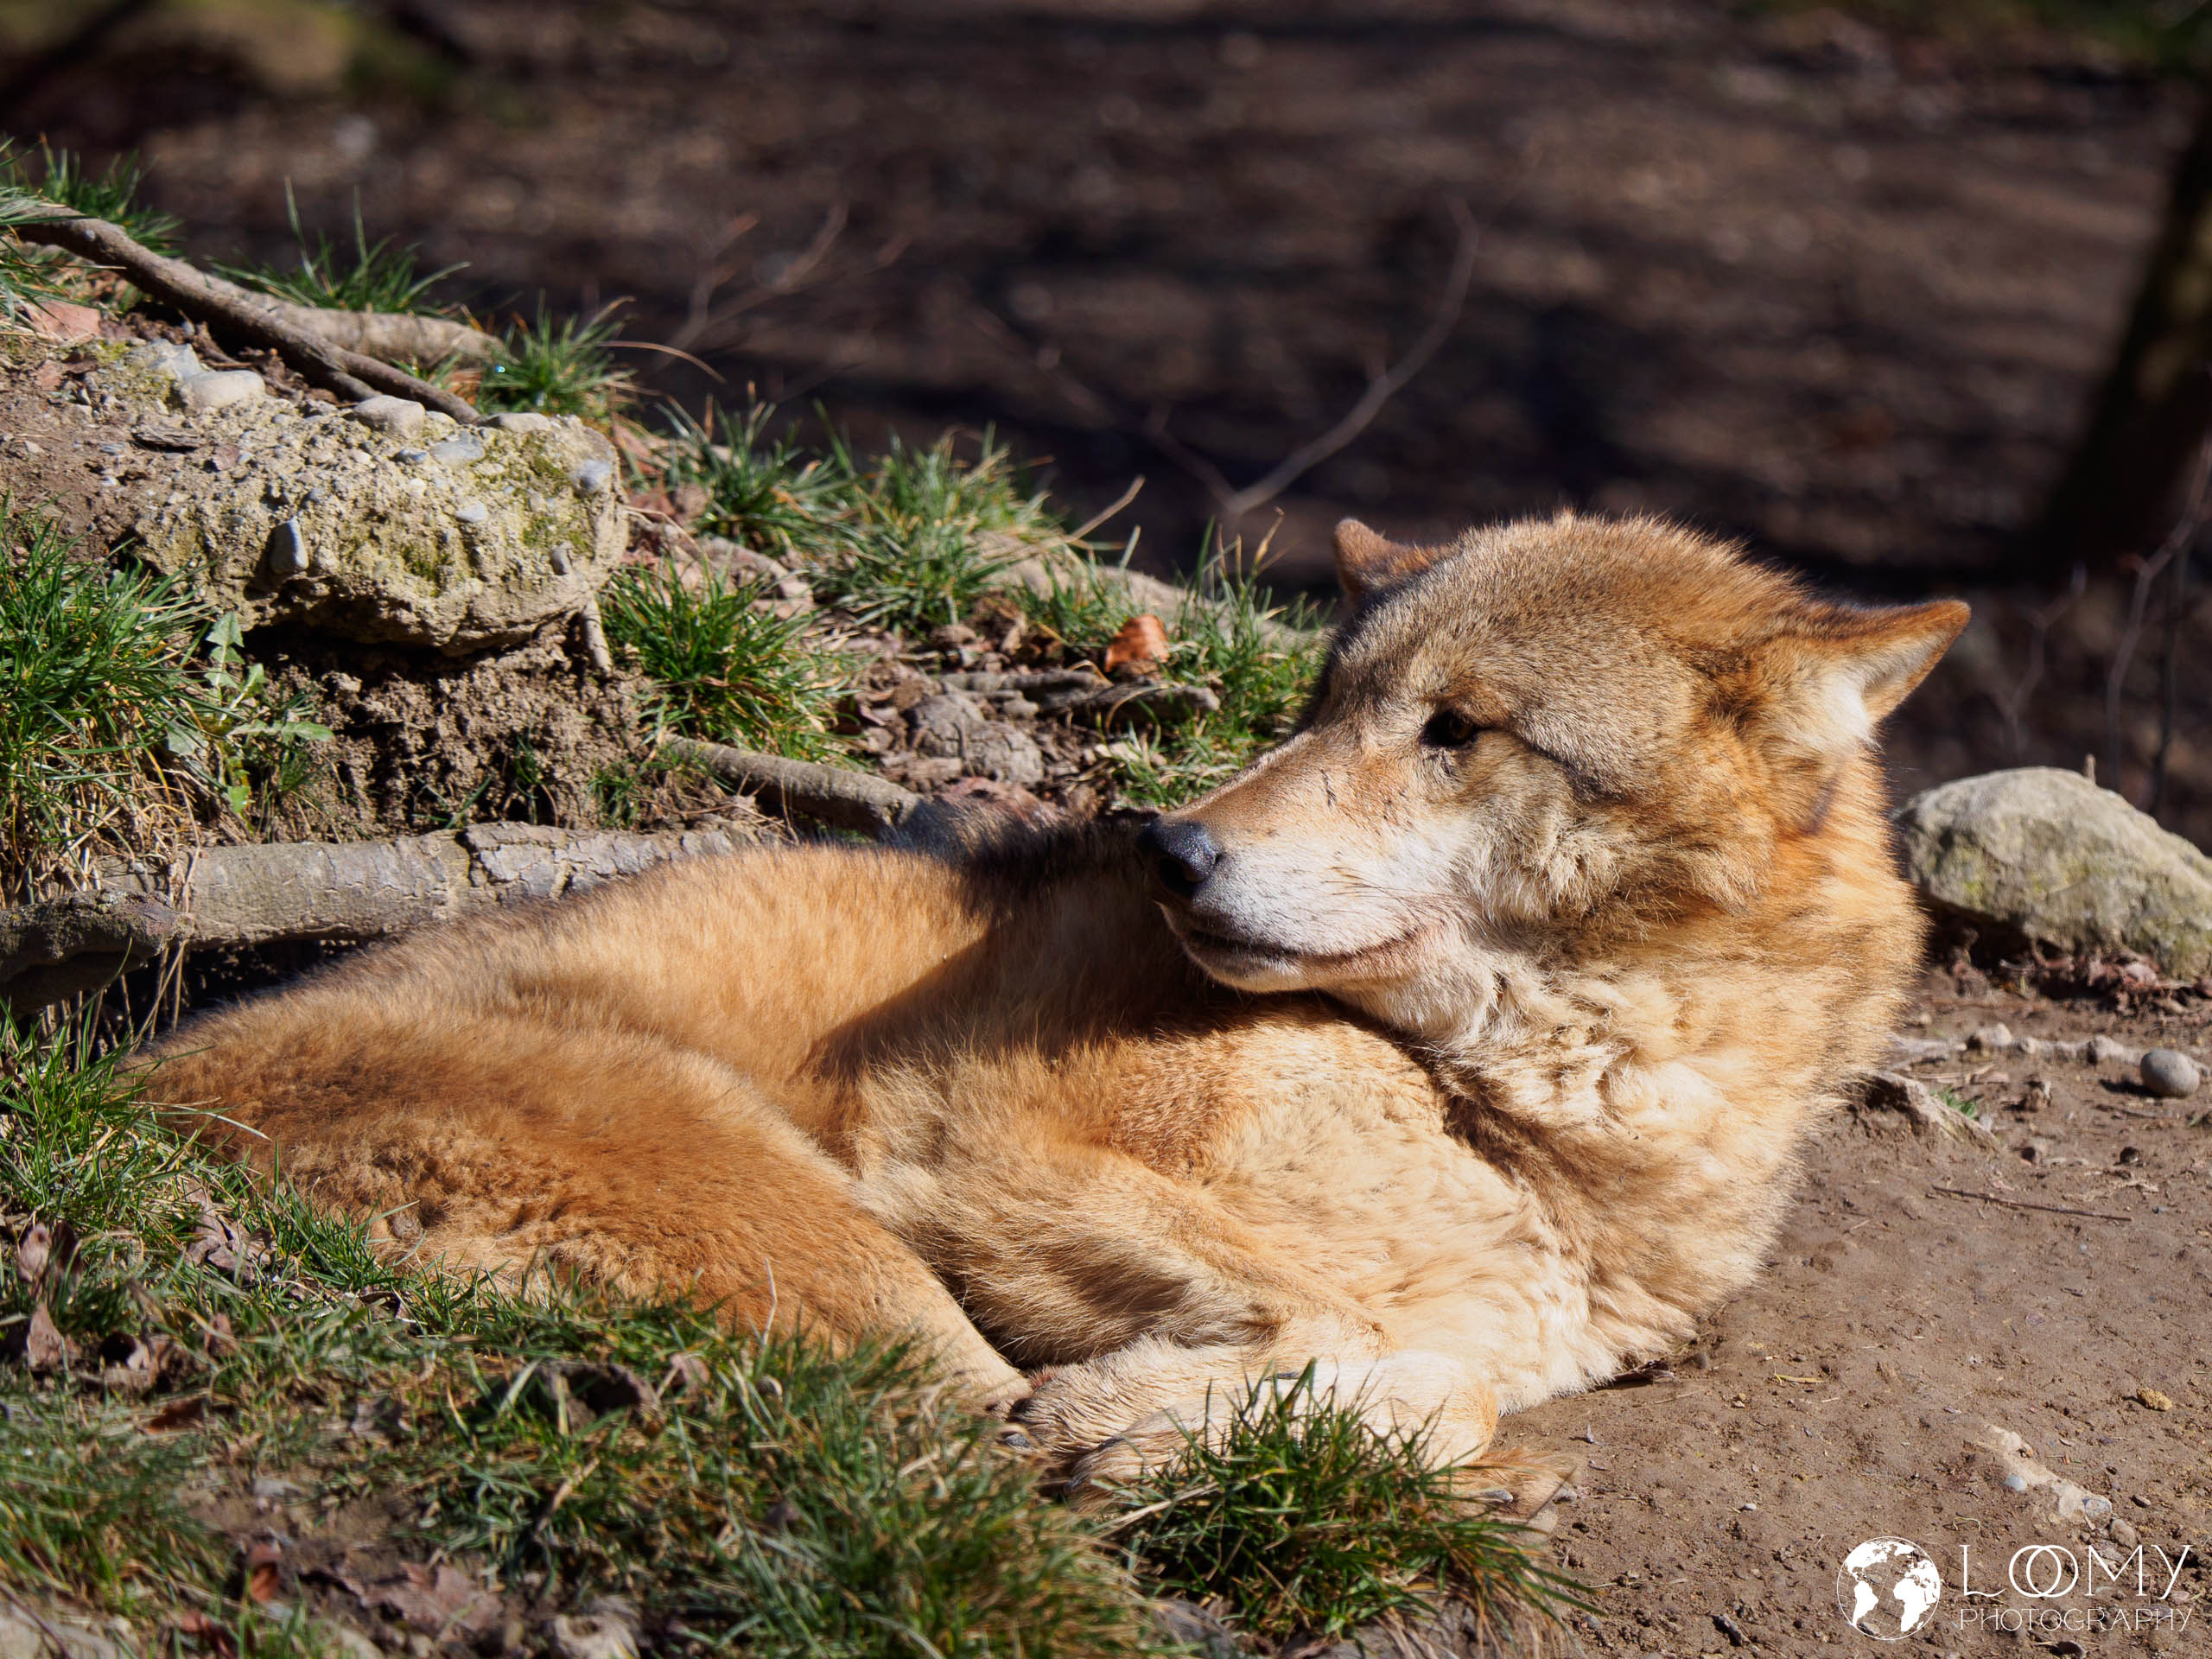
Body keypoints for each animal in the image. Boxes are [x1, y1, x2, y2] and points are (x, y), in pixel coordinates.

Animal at [143, 512, 1964, 1492]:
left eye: (1456, 730)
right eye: (1322, 704)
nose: (1172, 847)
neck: (1520, 1132)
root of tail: (121, 1100)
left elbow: (1442, 1364)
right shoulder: (979, 1148)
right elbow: (1383, 1346)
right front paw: (1150, 1420)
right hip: (821, 1231)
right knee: (958, 1428)